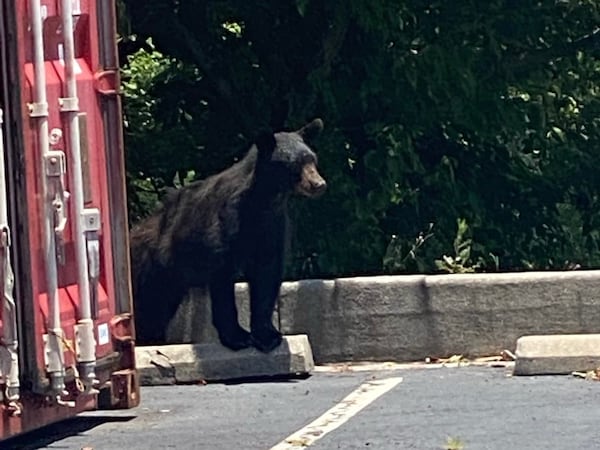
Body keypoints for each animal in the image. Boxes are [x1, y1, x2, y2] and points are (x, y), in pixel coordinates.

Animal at [129, 118, 326, 352]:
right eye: (296, 165)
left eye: (312, 160)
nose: (319, 184)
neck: (264, 200)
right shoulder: (227, 222)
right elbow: (223, 277)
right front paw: (238, 337)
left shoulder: (272, 225)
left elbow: (266, 273)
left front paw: (268, 335)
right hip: (150, 267)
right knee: (147, 307)